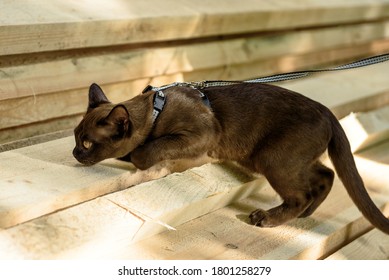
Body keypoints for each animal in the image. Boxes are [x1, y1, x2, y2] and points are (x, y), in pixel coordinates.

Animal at [73, 82, 388, 233]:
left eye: (87, 143)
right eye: (76, 136)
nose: (75, 152)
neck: (155, 111)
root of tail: (328, 112)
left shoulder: (201, 134)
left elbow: (149, 148)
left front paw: (137, 155)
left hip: (272, 160)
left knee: (302, 193)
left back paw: (267, 219)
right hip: (285, 161)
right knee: (326, 175)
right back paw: (307, 213)